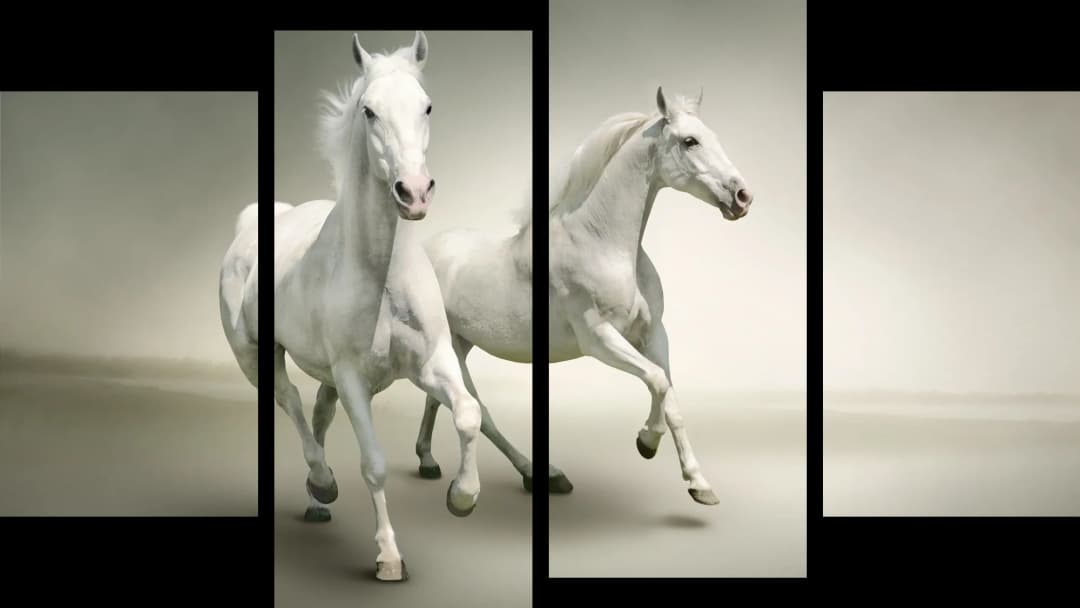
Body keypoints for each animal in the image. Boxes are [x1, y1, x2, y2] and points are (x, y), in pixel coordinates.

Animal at [220, 31, 485, 582]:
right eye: (369, 111)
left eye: (427, 105)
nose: (414, 192)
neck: (382, 276)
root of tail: (254, 220)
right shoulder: (352, 378)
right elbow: (374, 464)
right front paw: (388, 557)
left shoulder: (432, 363)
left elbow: (469, 412)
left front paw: (462, 496)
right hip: (255, 354)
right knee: (291, 403)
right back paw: (322, 482)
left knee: (318, 414)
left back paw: (317, 501)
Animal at [417, 86, 754, 505]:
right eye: (690, 141)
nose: (742, 196)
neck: (603, 243)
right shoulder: (599, 339)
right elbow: (657, 381)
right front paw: (646, 441)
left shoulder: (653, 334)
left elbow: (671, 398)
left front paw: (699, 484)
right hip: (451, 346)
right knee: (476, 410)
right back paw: (535, 474)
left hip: (460, 344)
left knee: (438, 398)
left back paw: (429, 461)